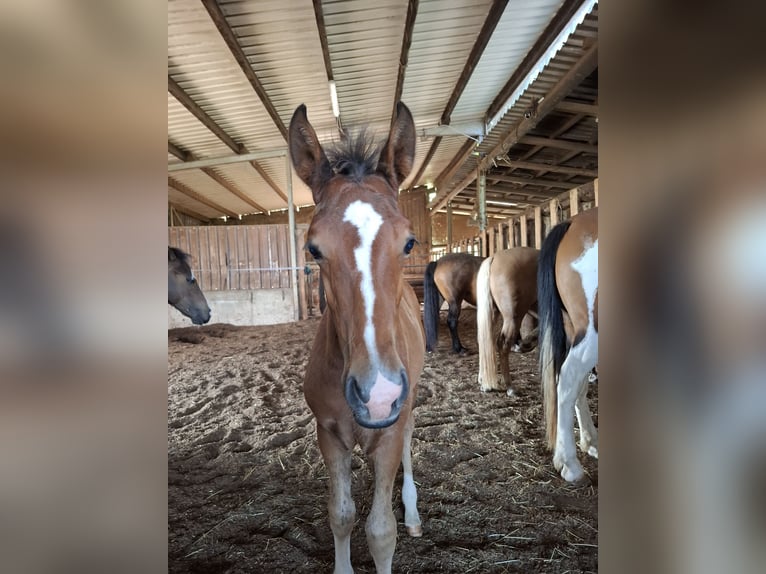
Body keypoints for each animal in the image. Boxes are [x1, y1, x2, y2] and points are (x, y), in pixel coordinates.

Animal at [289, 101, 424, 574]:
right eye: (313, 249)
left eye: (409, 242)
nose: (377, 394)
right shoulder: (328, 435)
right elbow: (342, 515)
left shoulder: (389, 430)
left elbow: (381, 532)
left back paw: (414, 512)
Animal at [476, 247, 539, 393]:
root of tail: (494, 258)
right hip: (512, 318)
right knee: (503, 344)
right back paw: (510, 387)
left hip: (494, 313)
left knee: (485, 340)